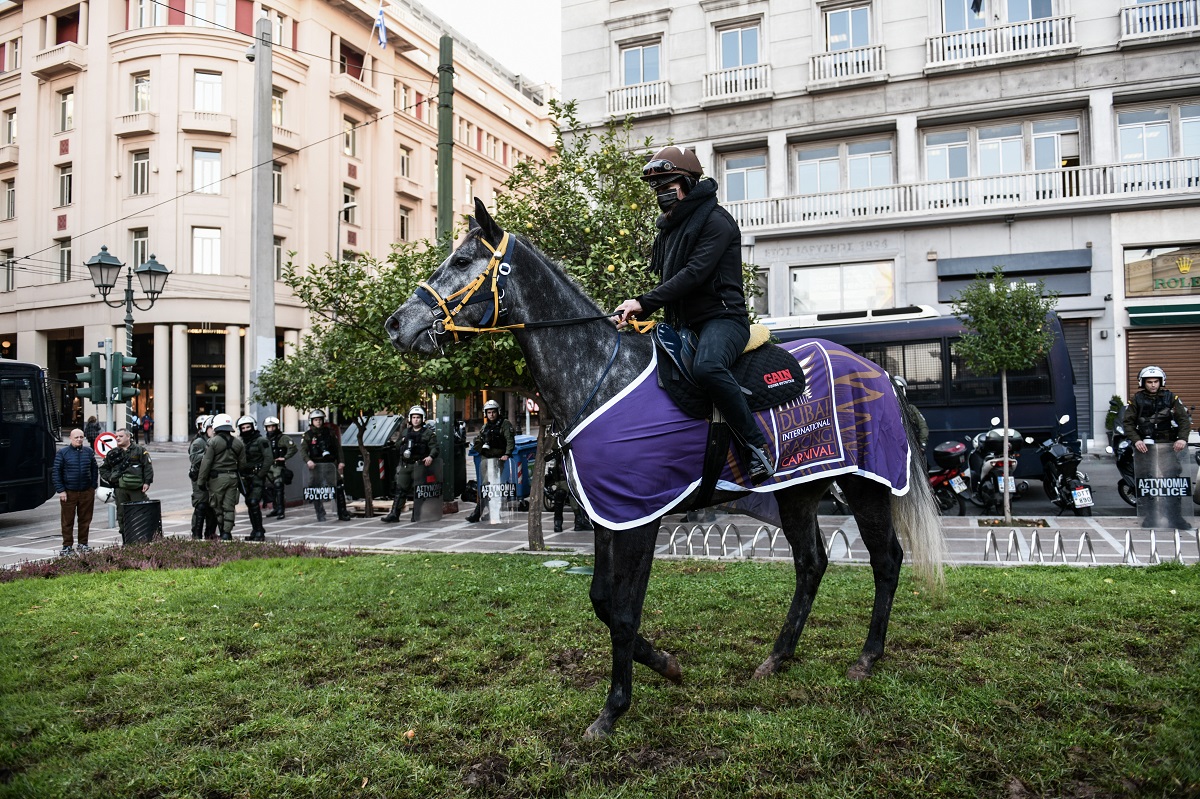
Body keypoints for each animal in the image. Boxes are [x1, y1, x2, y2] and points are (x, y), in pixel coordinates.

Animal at [386, 199, 945, 739]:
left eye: (462, 261)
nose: (397, 324)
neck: (603, 374)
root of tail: (882, 374)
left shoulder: (640, 516)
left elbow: (623, 609)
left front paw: (613, 709)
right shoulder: (610, 513)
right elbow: (603, 602)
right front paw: (665, 664)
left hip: (864, 485)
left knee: (886, 560)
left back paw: (867, 658)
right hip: (798, 489)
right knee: (811, 564)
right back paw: (778, 657)